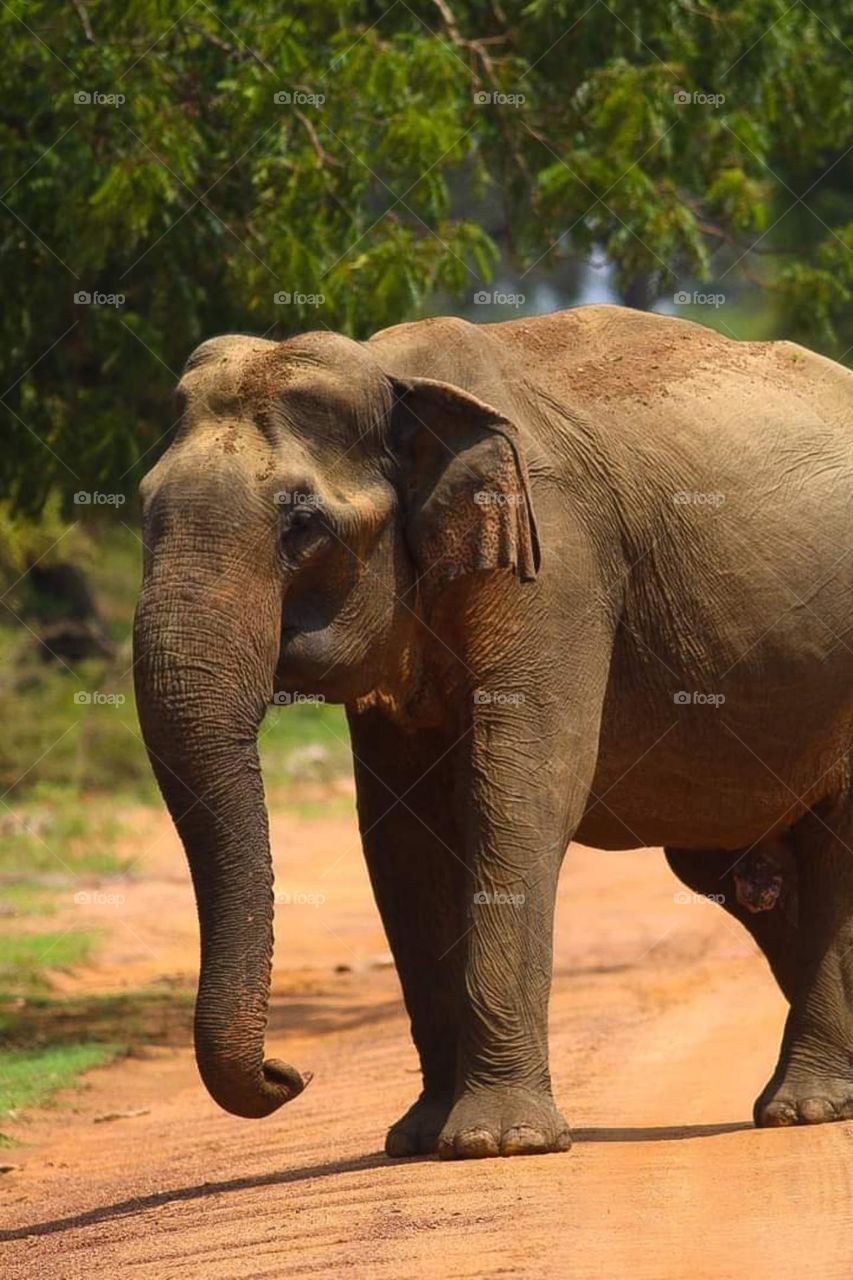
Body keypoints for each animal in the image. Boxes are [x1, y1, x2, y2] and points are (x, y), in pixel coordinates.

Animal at [133, 304, 853, 1159]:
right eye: (141, 510)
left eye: (301, 525)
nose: (290, 1074)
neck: (399, 373)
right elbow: (401, 835)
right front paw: (417, 1138)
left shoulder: (557, 558)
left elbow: (518, 792)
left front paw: (498, 1141)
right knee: (747, 881)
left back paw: (805, 1108)